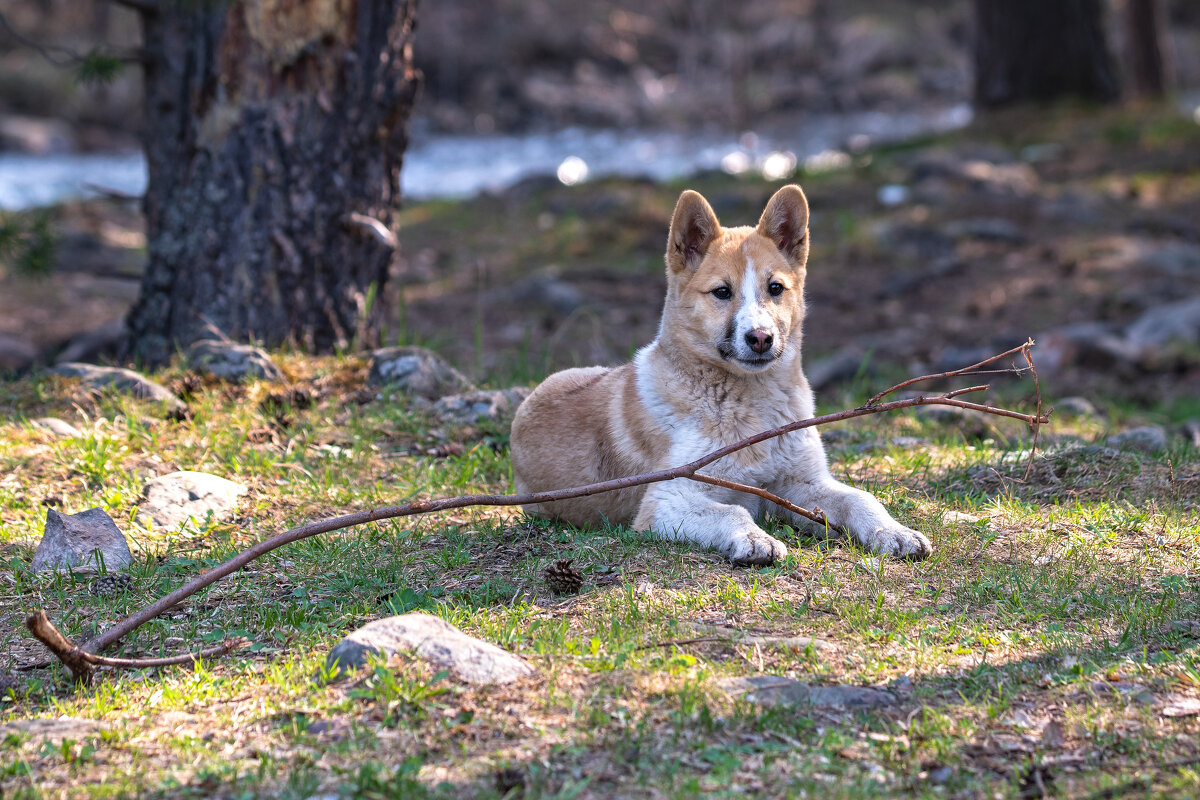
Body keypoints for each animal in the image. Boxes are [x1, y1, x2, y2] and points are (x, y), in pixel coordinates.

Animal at [511, 184, 931, 566]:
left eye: (775, 288)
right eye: (722, 292)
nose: (760, 338)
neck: (752, 405)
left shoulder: (802, 483)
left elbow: (861, 497)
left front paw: (894, 532)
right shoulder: (667, 499)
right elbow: (732, 510)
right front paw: (754, 539)